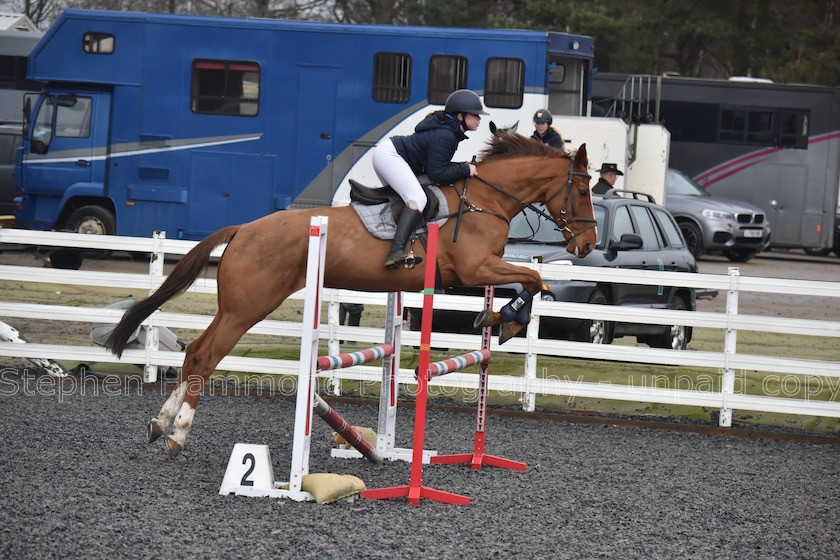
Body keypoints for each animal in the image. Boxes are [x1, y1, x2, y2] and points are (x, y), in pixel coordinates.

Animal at [105, 132, 596, 460]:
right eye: (583, 188)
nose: (587, 245)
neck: (483, 200)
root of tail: (243, 228)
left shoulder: (481, 271)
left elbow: (533, 279)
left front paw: (499, 321)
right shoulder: (476, 269)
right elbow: (533, 277)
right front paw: (506, 319)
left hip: (235, 307)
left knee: (194, 354)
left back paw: (159, 424)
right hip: (248, 308)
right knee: (205, 356)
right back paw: (178, 433)